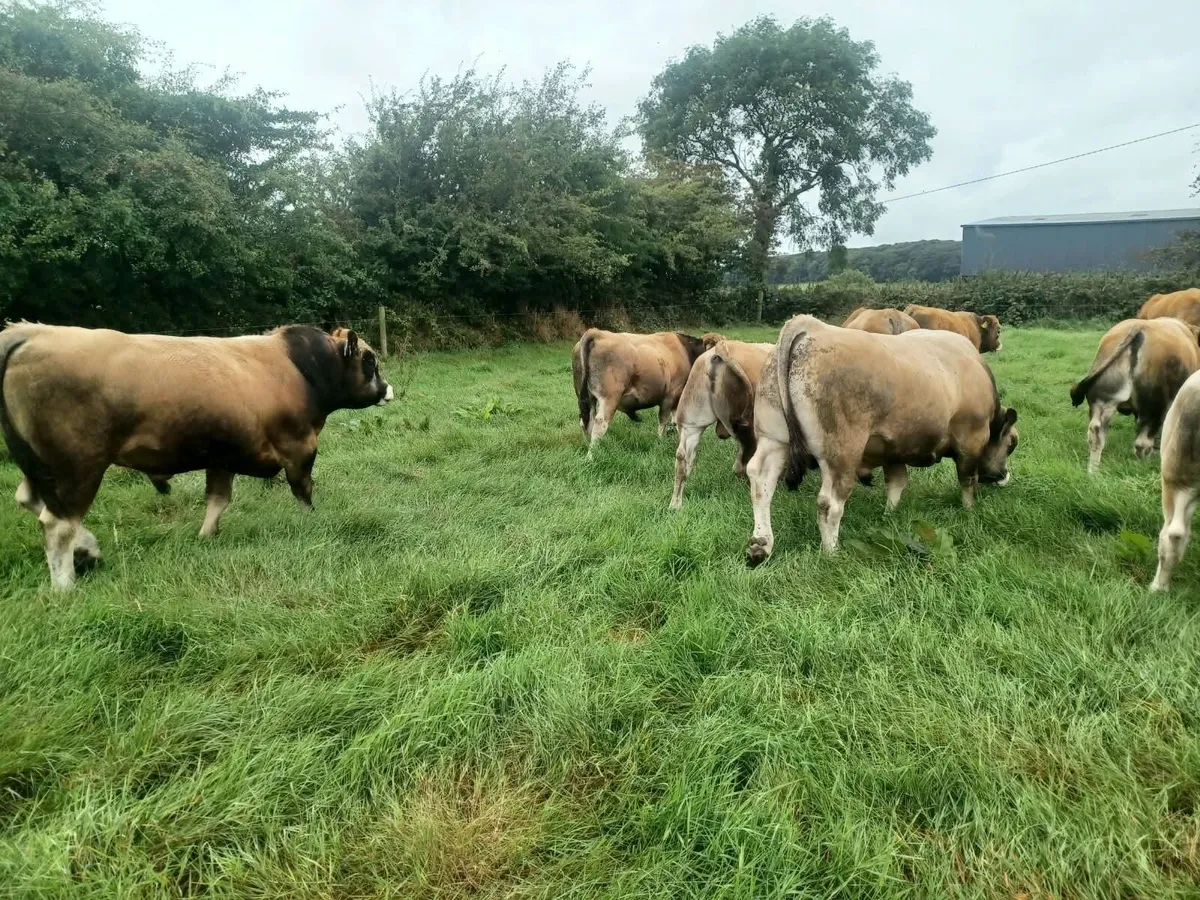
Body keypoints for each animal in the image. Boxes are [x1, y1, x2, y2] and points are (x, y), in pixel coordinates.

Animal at [0, 322, 391, 590]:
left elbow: (218, 499)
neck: (301, 368)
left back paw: (88, 549)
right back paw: (65, 585)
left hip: (40, 466)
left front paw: (206, 535)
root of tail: (29, 333)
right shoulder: (299, 447)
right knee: (58, 524)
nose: (388, 389)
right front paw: (311, 522)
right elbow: (303, 490)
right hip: (78, 467)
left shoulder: (222, 455)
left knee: (30, 500)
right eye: (369, 360)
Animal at [572, 328, 721, 456]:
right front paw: (661, 440)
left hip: (587, 397)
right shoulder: (670, 395)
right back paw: (591, 455)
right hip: (609, 398)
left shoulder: (677, 398)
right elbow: (663, 420)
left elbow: (675, 421)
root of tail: (597, 333)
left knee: (586, 421)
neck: (686, 351)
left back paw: (587, 444)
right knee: (600, 424)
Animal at [669, 339, 773, 509]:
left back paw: (675, 505)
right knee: (746, 462)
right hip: (750, 427)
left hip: (691, 423)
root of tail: (721, 347)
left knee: (682, 460)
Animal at [744, 315, 1019, 564]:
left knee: (761, 480)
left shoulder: (893, 449)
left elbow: (897, 483)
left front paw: (889, 516)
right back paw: (832, 552)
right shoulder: (971, 439)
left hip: (773, 439)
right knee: (829, 503)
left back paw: (761, 545)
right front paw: (969, 510)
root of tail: (813, 326)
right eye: (1011, 445)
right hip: (842, 452)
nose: (1003, 476)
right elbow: (967, 480)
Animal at [1068, 317, 1200, 474]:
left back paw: (1093, 472)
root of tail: (1138, 327)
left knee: (1095, 434)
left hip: (1102, 401)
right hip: (1155, 409)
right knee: (1142, 443)